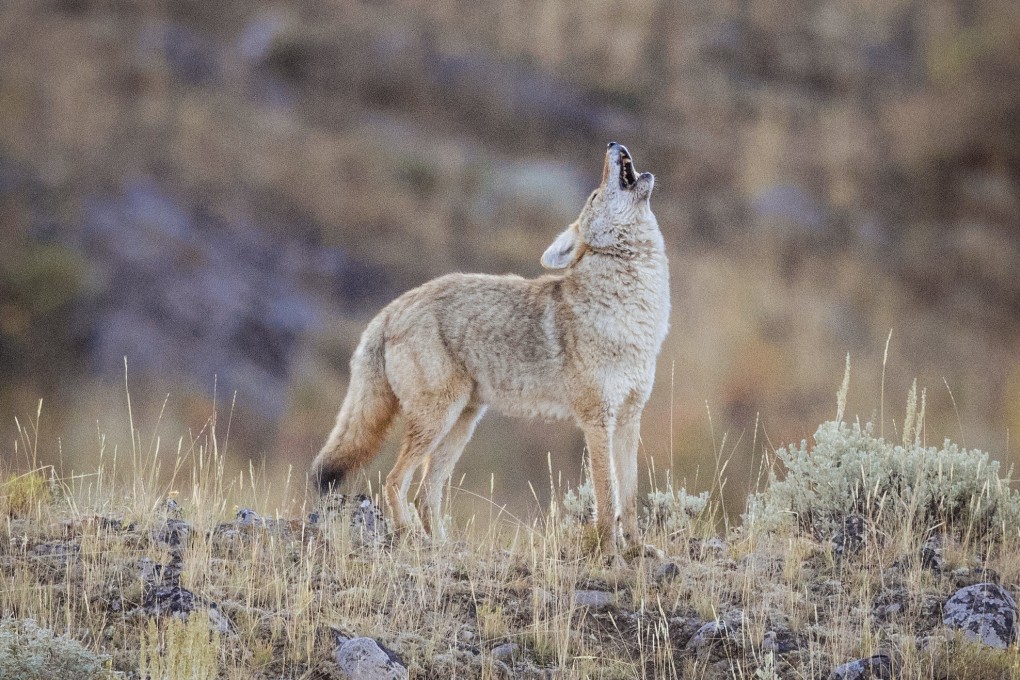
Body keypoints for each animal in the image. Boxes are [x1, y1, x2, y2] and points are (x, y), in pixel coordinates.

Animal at [311, 142, 670, 554]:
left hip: (460, 424)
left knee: (425, 493)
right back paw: (412, 538)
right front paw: (611, 553)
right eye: (594, 196)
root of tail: (389, 310)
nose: (613, 144)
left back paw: (443, 547)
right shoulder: (596, 420)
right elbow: (607, 497)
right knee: (394, 482)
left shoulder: (629, 417)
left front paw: (638, 549)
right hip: (437, 420)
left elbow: (629, 497)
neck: (634, 312)